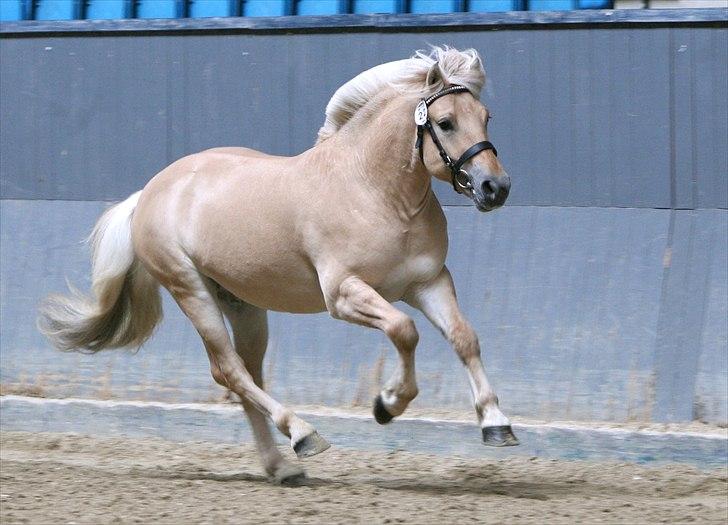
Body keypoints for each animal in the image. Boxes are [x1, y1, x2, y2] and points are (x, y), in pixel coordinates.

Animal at [39, 46, 516, 484]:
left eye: (486, 116)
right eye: (445, 122)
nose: (495, 187)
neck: (376, 191)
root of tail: (148, 193)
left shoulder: (428, 283)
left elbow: (464, 338)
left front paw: (496, 424)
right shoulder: (344, 294)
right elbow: (404, 330)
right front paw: (387, 405)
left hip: (244, 306)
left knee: (248, 375)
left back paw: (282, 466)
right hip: (189, 290)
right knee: (229, 371)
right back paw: (304, 436)